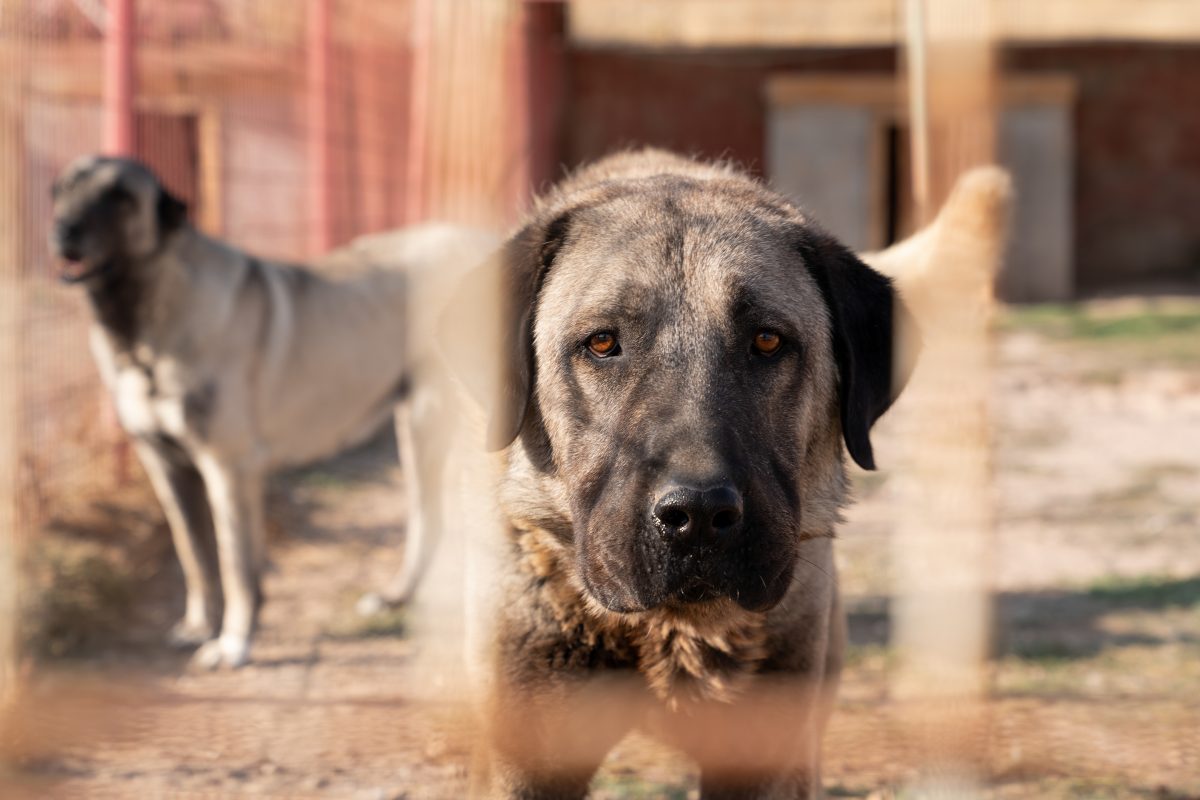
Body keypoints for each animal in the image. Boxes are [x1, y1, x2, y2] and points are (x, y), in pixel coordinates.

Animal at [48, 155, 496, 671]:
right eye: (62, 190)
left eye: (120, 196)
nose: (64, 230)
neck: (145, 323)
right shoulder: (166, 467)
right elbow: (195, 555)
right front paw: (200, 625)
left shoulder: (229, 469)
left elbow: (236, 566)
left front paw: (233, 642)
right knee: (432, 519)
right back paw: (396, 598)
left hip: (433, 424)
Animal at [436, 148, 1008, 796]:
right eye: (602, 343)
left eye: (767, 340)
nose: (698, 515)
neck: (669, 630)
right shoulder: (525, 753)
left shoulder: (769, 751)